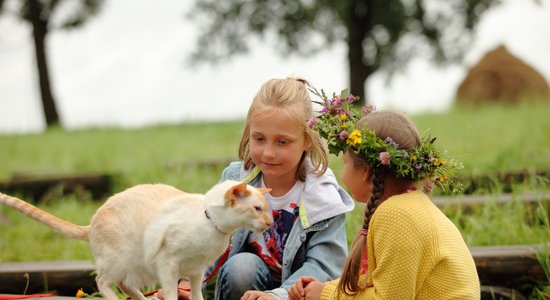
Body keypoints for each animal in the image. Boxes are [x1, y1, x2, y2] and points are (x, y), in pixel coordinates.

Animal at [0, 180, 274, 300]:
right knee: (103, 283)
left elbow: (196, 295)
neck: (211, 224)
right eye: (257, 209)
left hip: (137, 267)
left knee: (126, 285)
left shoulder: (195, 271)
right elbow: (172, 294)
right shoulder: (168, 265)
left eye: (267, 209)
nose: (270, 222)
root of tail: (92, 222)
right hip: (121, 261)